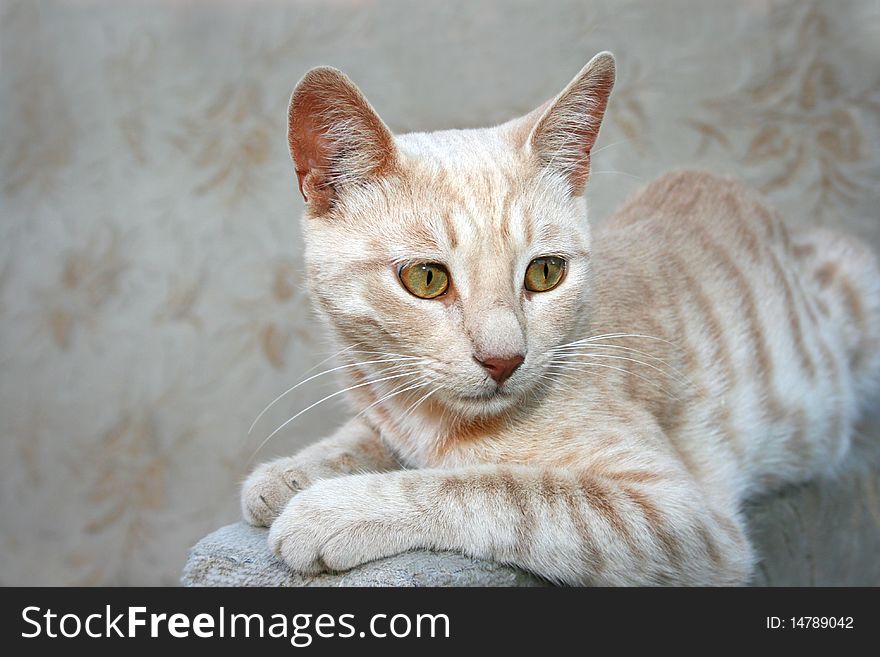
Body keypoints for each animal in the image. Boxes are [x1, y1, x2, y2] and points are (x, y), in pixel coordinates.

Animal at [239, 52, 880, 584]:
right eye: (426, 279)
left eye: (545, 272)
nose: (503, 359)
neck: (429, 420)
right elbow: (361, 435)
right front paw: (291, 472)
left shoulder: (679, 514)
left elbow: (497, 489)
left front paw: (337, 508)